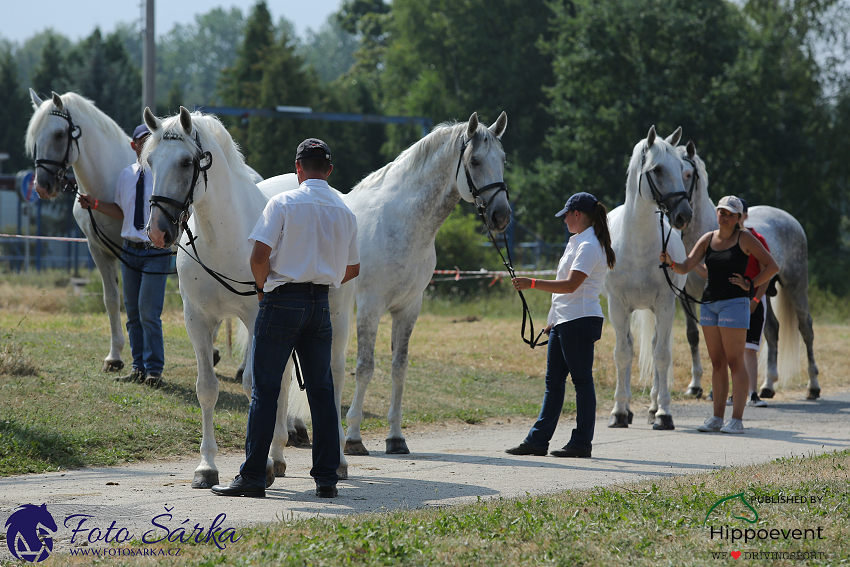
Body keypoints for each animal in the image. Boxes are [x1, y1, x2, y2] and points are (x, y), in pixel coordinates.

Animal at [26, 91, 133, 374]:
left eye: (59, 134)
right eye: (35, 136)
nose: (42, 186)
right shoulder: (98, 250)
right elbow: (111, 300)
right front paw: (114, 357)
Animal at [142, 108, 308, 490]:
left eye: (186, 162)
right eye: (150, 162)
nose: (158, 231)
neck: (222, 239)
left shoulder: (256, 317)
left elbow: (254, 387)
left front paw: (260, 466)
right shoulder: (197, 320)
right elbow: (207, 388)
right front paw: (206, 468)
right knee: (283, 382)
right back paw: (279, 455)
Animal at [338, 112, 510, 458]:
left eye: (503, 160)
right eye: (474, 160)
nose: (501, 216)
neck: (403, 223)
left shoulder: (408, 308)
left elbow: (399, 367)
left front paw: (395, 438)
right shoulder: (370, 306)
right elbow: (365, 367)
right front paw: (353, 438)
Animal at [604, 126, 688, 430]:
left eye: (682, 169)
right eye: (658, 169)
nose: (684, 214)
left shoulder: (664, 305)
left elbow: (661, 356)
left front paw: (664, 414)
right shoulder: (617, 306)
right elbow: (622, 354)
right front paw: (619, 412)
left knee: (654, 348)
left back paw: (653, 408)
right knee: (629, 347)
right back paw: (628, 409)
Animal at [672, 143, 820, 400]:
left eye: (688, 174)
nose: (680, 215)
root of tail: (789, 218)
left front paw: (714, 390)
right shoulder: (686, 296)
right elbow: (693, 335)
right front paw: (695, 386)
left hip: (796, 285)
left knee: (806, 328)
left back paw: (813, 387)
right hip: (764, 293)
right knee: (772, 329)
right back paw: (767, 385)